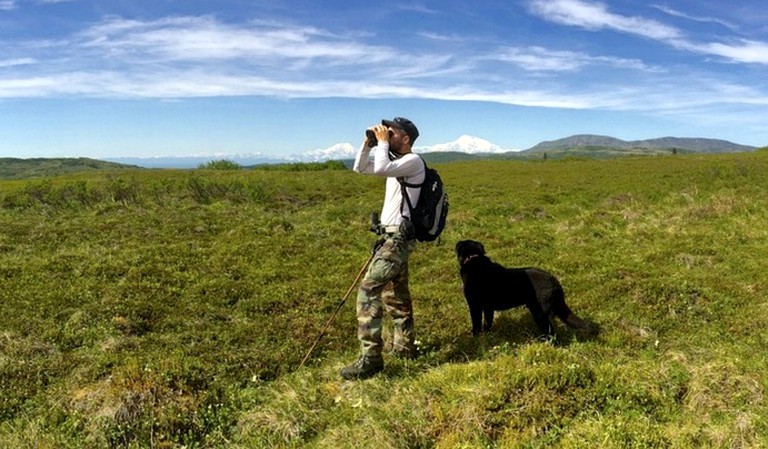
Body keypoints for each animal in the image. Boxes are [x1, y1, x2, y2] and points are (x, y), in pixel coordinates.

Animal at [452, 240, 596, 338]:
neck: (472, 259)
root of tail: (555, 283)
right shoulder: (488, 307)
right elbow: (487, 322)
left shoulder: (474, 305)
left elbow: (476, 324)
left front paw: (476, 338)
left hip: (539, 312)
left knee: (551, 332)